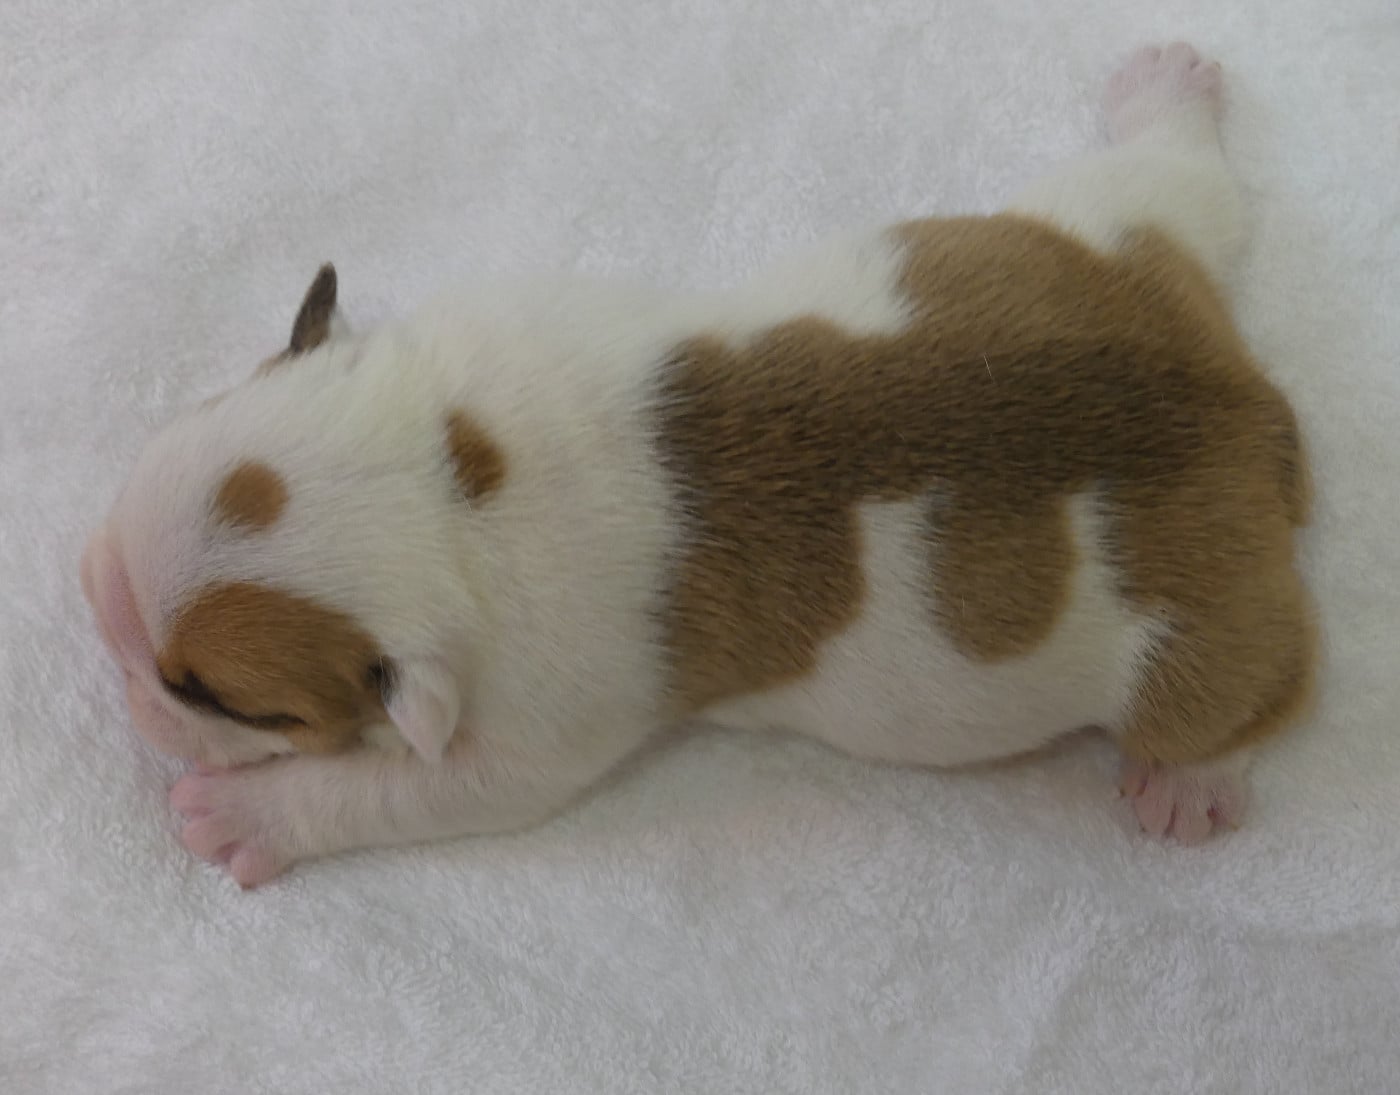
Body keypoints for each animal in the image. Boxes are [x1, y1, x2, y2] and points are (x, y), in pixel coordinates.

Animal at [82, 43, 1314, 887]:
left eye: (218, 698)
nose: (105, 616)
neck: (447, 486)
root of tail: (1252, 406)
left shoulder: (528, 738)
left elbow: (400, 791)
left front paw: (246, 816)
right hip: (1095, 236)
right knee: (1171, 188)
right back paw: (1166, 95)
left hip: (1190, 648)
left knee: (1262, 693)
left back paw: (1193, 783)